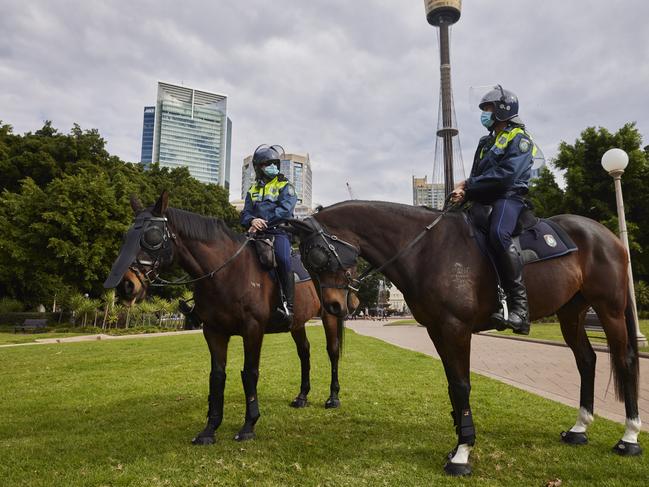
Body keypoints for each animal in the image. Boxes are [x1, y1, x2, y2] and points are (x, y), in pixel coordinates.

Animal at [104, 193, 350, 446]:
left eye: (151, 236)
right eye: (126, 236)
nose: (126, 285)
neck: (226, 272)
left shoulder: (253, 329)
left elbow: (249, 373)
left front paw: (249, 424)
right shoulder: (213, 331)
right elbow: (217, 376)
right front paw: (210, 428)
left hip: (330, 314)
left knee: (332, 351)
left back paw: (333, 397)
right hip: (297, 323)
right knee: (304, 352)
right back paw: (302, 396)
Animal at [288, 201, 644, 476]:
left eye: (317, 256)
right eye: (306, 262)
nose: (334, 307)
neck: (426, 249)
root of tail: (607, 235)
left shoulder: (456, 327)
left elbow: (462, 385)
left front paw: (462, 452)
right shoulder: (437, 329)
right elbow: (452, 385)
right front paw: (460, 437)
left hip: (610, 309)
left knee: (625, 359)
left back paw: (630, 436)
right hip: (571, 313)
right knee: (587, 359)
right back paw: (580, 428)